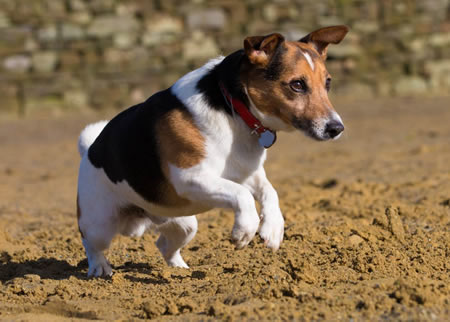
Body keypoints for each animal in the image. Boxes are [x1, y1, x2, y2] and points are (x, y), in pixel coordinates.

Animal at [75, 25, 348, 276]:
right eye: (297, 85)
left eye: (328, 83)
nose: (337, 128)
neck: (234, 109)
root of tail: (90, 149)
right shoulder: (190, 178)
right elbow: (242, 195)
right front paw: (244, 230)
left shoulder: (247, 173)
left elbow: (270, 192)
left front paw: (273, 229)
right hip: (100, 223)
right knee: (91, 243)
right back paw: (100, 268)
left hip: (184, 224)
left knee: (164, 245)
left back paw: (179, 270)